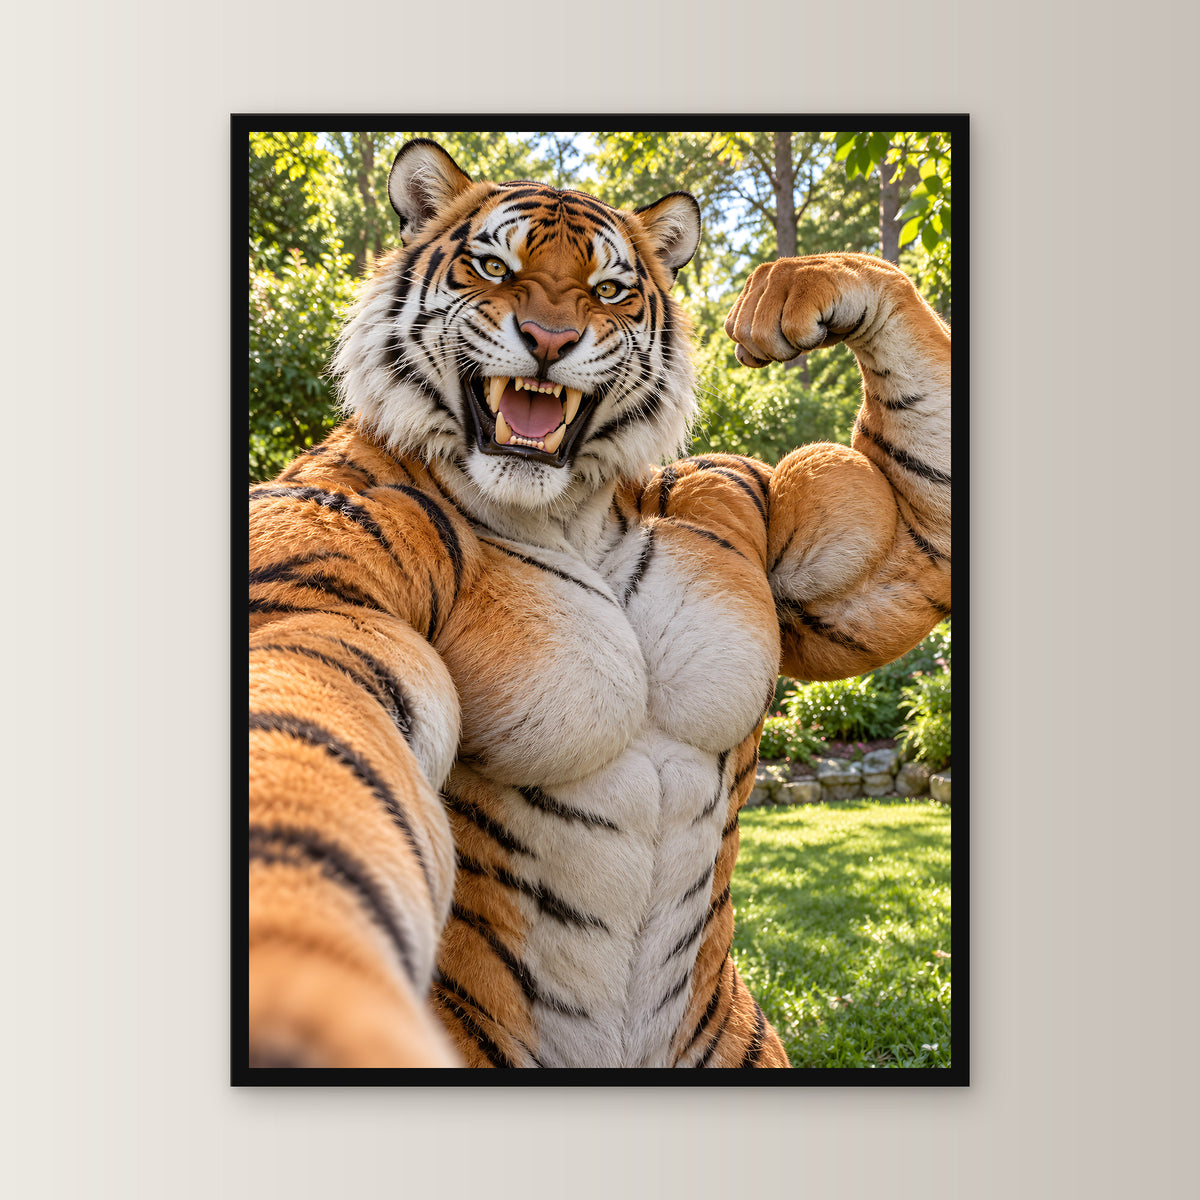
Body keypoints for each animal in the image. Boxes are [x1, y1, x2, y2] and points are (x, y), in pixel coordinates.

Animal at [248, 138, 951, 1069]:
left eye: (609, 289)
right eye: (493, 267)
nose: (550, 340)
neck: (565, 510)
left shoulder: (829, 536)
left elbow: (920, 530)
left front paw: (798, 289)